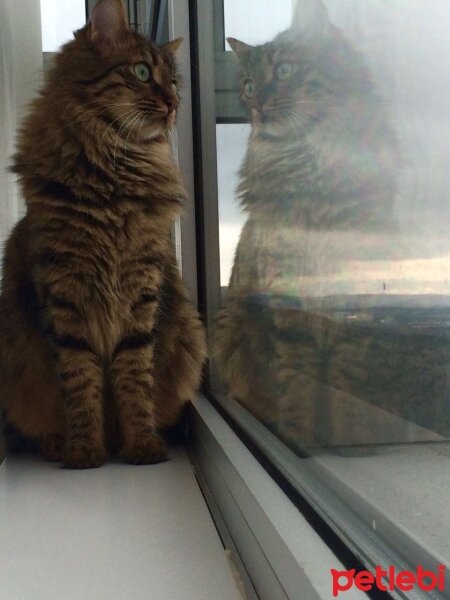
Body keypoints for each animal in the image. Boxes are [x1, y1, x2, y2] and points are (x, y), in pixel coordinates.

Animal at [0, 0, 207, 468]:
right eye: (143, 72)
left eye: (173, 81)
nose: (173, 104)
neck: (114, 178)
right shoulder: (64, 296)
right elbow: (80, 384)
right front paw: (84, 451)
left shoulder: (141, 292)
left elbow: (134, 378)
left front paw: (141, 445)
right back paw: (58, 445)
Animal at [212, 0, 408, 450]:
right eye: (249, 87)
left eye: (284, 71)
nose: (258, 106)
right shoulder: (287, 303)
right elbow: (298, 387)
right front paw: (298, 438)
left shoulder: (354, 300)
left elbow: (346, 390)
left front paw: (350, 442)